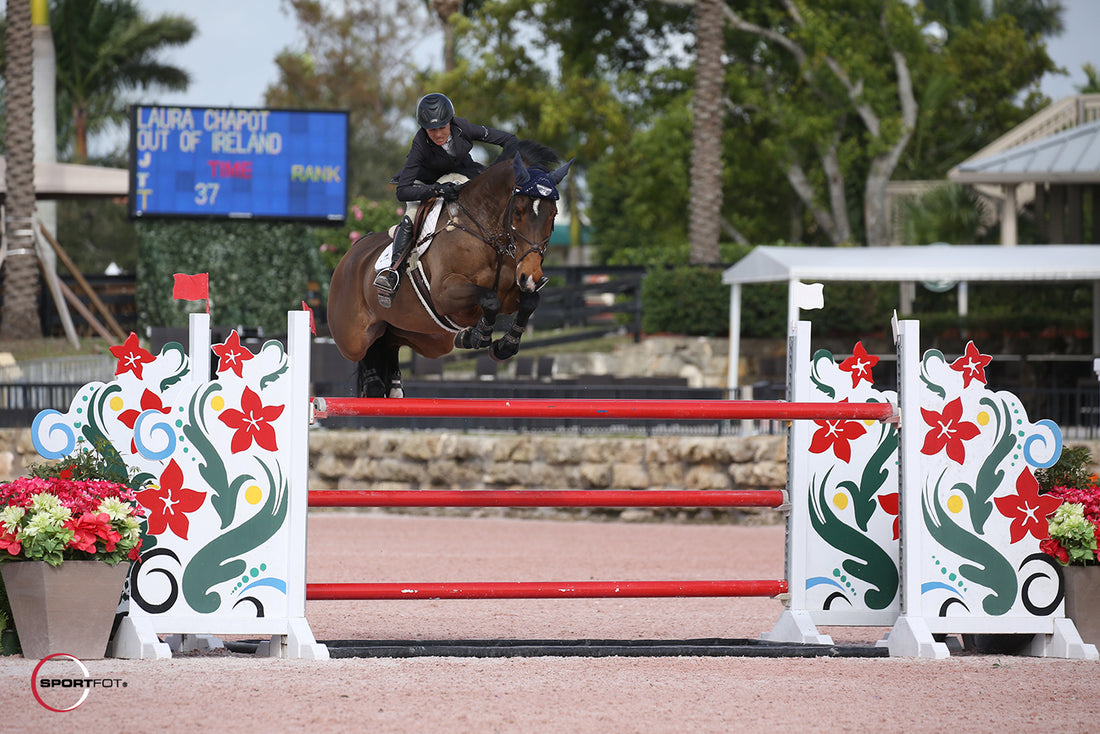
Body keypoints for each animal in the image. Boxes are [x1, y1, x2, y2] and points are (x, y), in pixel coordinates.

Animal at [323, 140, 572, 398]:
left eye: (553, 214)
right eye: (518, 212)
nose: (531, 277)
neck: (487, 234)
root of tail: (350, 255)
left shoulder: (511, 293)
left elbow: (529, 301)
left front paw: (503, 345)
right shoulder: (444, 294)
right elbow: (489, 298)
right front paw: (479, 335)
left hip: (423, 337)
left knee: (388, 345)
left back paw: (394, 386)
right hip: (353, 338)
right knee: (365, 352)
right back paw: (374, 383)